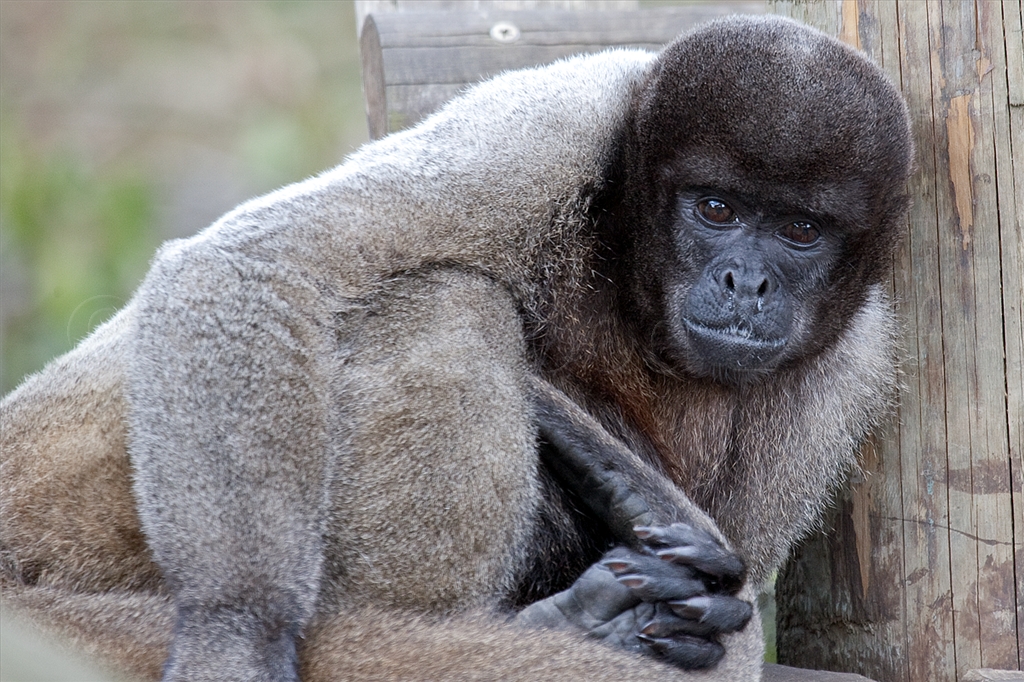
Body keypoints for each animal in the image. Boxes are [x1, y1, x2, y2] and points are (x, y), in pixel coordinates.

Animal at [0, 14, 913, 682]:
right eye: (716, 208)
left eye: (800, 231)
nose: (745, 283)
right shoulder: (549, 130)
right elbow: (258, 264)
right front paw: (237, 636)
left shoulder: (856, 358)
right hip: (68, 495)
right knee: (443, 300)